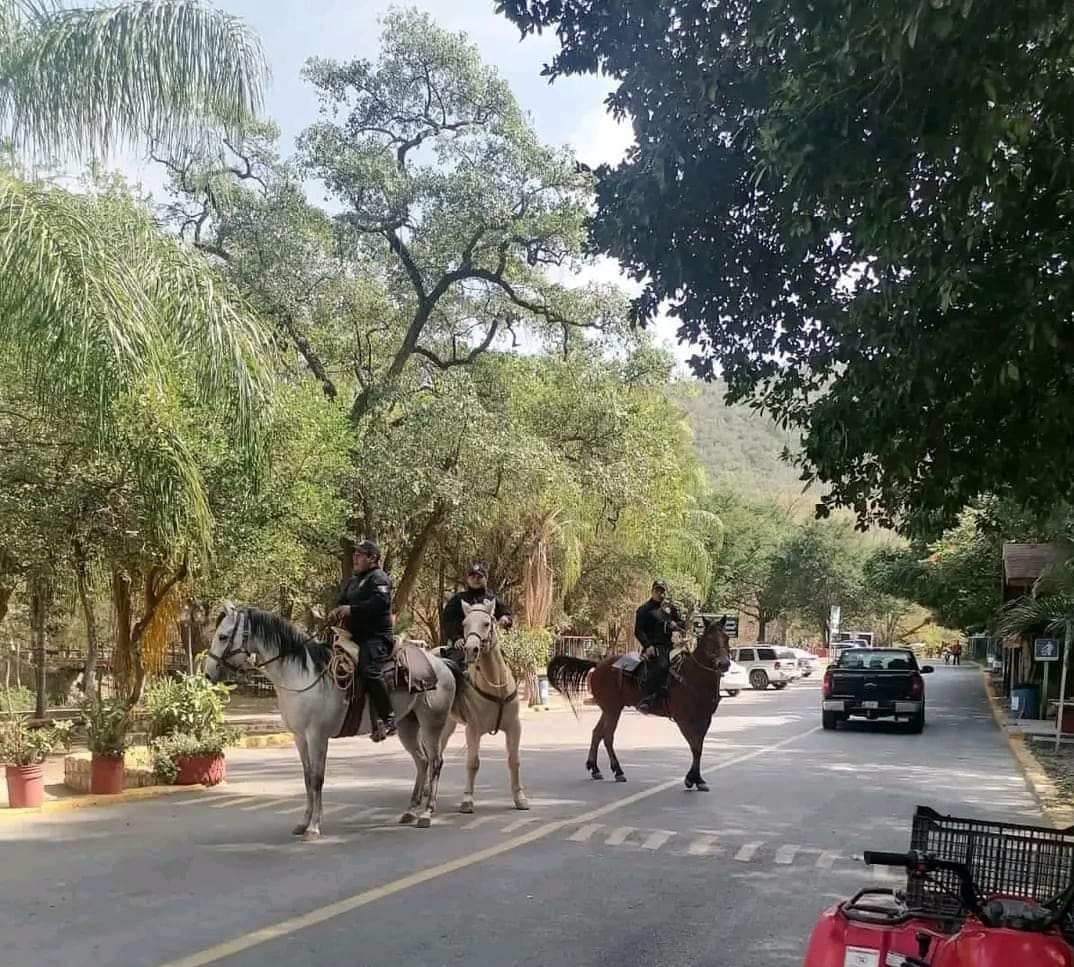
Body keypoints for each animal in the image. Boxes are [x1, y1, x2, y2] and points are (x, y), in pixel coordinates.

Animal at [207, 605, 463, 838]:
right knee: (422, 762)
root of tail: (441, 665)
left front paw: (313, 827)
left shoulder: (317, 737)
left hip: (432, 725)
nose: (208, 674)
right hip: (408, 725)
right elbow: (307, 778)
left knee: (436, 762)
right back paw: (410, 811)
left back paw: (426, 814)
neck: (303, 677)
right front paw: (303, 822)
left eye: (222, 636)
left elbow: (317, 778)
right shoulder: (300, 738)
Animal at [442, 601, 530, 812]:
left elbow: (514, 761)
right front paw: (467, 799)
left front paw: (520, 798)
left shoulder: (514, 727)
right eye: (464, 624)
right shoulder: (473, 730)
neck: (495, 684)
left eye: (487, 623)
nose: (471, 649)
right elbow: (472, 763)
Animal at [545, 614, 730, 790]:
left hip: (609, 709)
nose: (724, 664)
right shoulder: (683, 719)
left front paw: (697, 779)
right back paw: (618, 771)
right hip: (612, 710)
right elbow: (695, 747)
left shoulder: (705, 719)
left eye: (726, 637)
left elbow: (699, 747)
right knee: (608, 736)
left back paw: (595, 768)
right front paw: (692, 778)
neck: (692, 677)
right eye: (708, 639)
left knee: (597, 733)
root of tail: (598, 665)